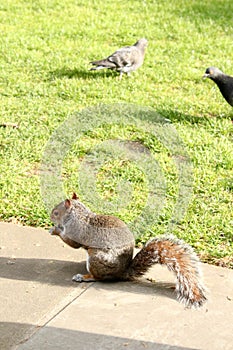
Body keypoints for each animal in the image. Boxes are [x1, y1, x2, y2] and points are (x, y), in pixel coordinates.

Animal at [50, 193, 207, 308]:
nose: (50, 216)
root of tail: (122, 273)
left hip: (95, 258)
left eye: (56, 212)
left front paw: (55, 230)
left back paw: (83, 277)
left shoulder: (76, 231)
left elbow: (72, 243)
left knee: (98, 278)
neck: (79, 214)